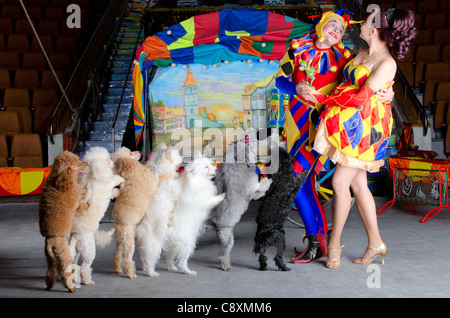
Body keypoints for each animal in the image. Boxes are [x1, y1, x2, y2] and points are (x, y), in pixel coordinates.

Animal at [68, 145, 123, 284]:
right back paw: (87, 281)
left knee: (75, 262)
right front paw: (121, 179)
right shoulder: (108, 183)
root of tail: (76, 235)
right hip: (89, 249)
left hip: (78, 250)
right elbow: (114, 179)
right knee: (85, 266)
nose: (113, 163)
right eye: (107, 160)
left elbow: (113, 191)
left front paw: (117, 192)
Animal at [135, 143, 183, 278]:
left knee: (144, 258)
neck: (161, 174)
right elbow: (179, 184)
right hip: (154, 245)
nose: (183, 158)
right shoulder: (174, 188)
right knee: (149, 260)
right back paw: (152, 272)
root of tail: (139, 231)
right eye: (177, 155)